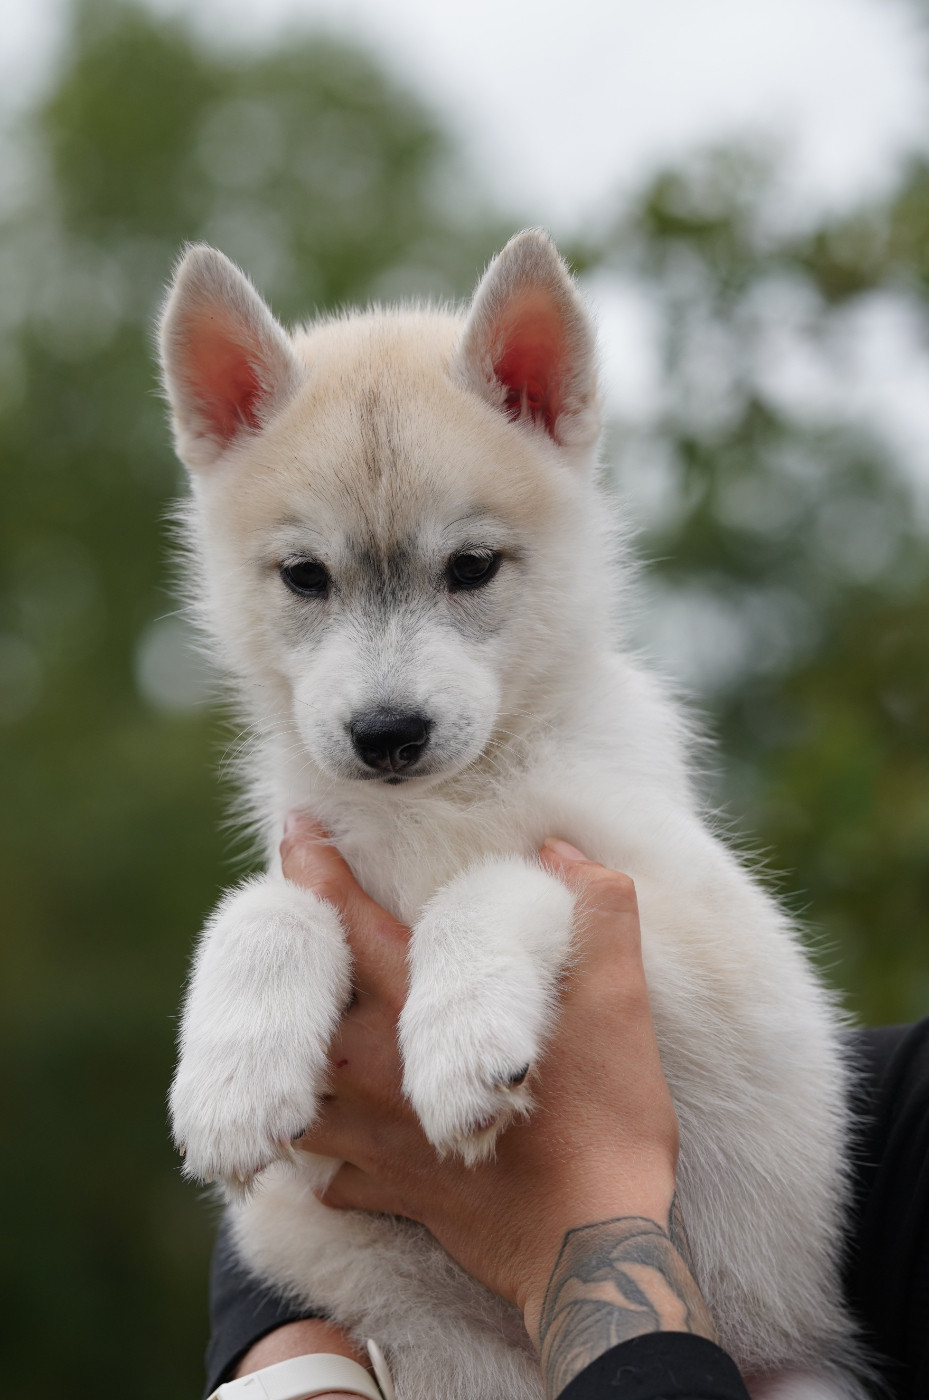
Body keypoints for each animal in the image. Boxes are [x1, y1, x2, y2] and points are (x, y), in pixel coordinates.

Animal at [160, 230, 866, 1399]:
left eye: (471, 567)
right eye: (304, 576)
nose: (386, 732)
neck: (443, 802)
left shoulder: (707, 951)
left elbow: (496, 879)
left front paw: (459, 1035)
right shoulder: (311, 868)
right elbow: (259, 908)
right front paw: (231, 1070)